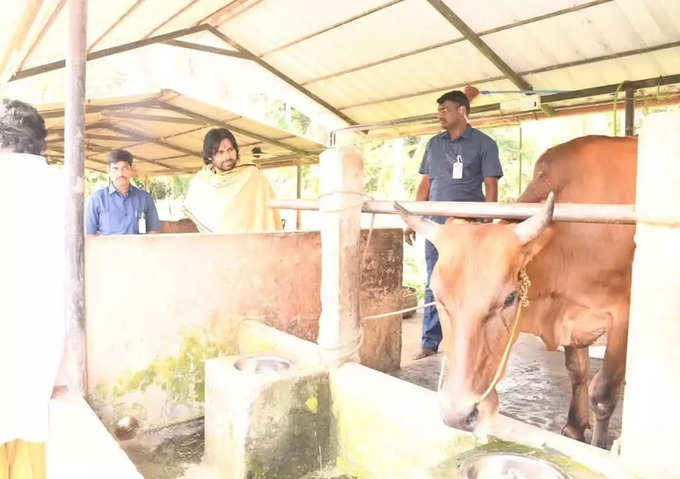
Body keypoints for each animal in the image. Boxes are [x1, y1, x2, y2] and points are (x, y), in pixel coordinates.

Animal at [396, 136, 636, 450]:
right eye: (438, 297)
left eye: (509, 298)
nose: (459, 414)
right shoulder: (571, 319)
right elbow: (577, 371)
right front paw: (574, 427)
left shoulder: (623, 317)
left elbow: (604, 394)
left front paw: (597, 445)